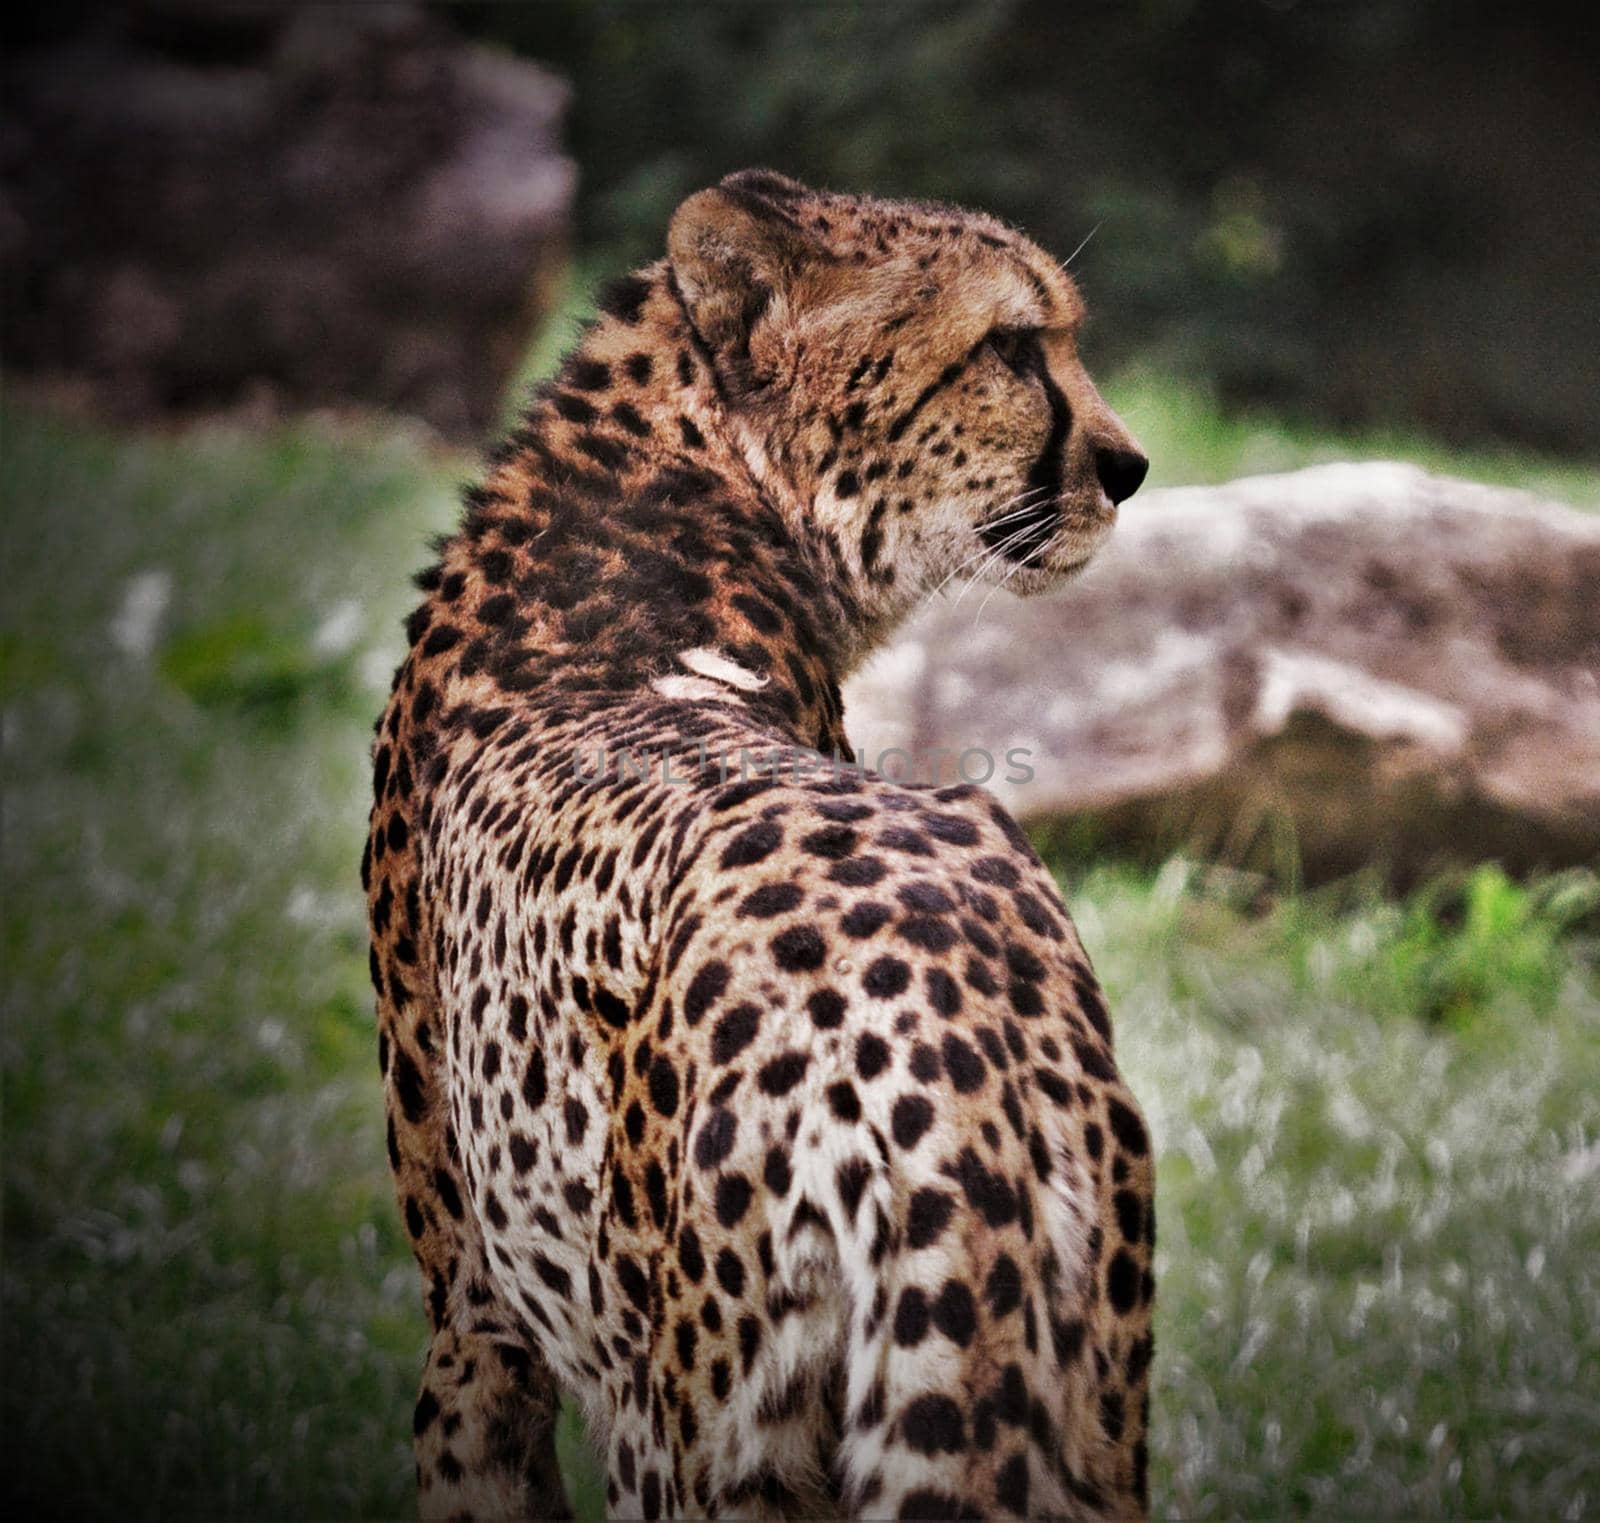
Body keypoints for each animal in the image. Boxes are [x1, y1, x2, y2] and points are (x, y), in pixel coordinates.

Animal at [366, 172, 1152, 1516]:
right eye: (1011, 346)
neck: (686, 480)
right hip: (1080, 1420)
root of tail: (935, 1002)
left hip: (696, 1435)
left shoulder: (474, 1323)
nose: (1131, 464)